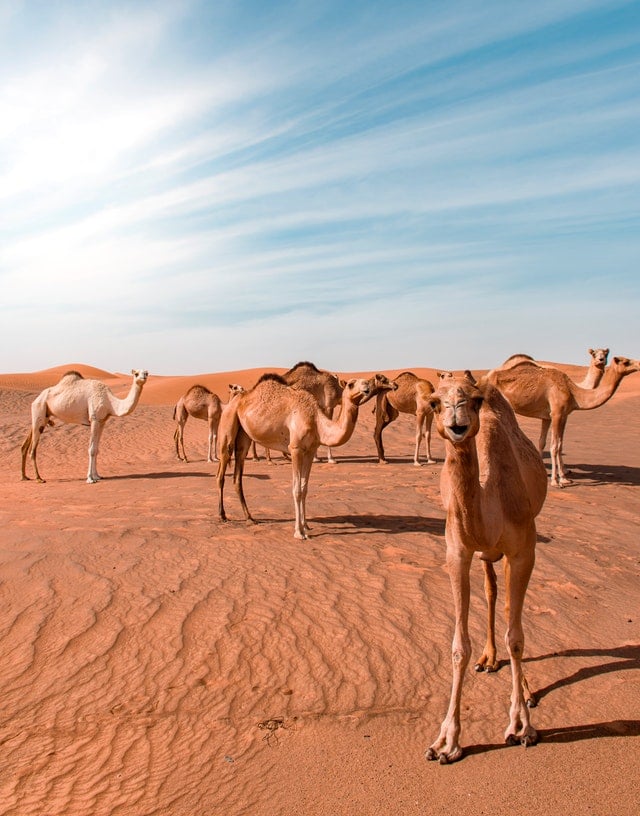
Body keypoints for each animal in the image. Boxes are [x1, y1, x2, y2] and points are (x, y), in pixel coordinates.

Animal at [21, 366, 149, 482]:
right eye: (136, 374)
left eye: (146, 373)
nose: (143, 377)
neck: (110, 402)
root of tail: (36, 399)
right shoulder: (94, 418)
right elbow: (91, 450)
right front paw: (90, 478)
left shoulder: (102, 421)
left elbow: (97, 449)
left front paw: (97, 476)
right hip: (39, 408)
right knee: (33, 450)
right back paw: (39, 478)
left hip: (43, 416)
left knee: (27, 442)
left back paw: (24, 477)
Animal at [215, 372, 396, 540]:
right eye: (351, 384)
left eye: (366, 382)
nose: (366, 387)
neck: (316, 421)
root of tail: (234, 401)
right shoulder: (295, 448)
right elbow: (296, 490)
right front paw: (299, 532)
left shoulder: (310, 450)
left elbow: (304, 488)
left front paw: (306, 525)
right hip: (227, 427)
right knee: (221, 473)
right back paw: (222, 516)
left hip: (244, 437)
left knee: (237, 476)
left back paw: (250, 518)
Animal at [422, 372, 548, 760]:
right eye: (435, 402)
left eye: (474, 400)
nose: (457, 421)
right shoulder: (457, 551)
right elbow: (459, 646)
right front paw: (446, 741)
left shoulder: (524, 549)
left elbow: (517, 637)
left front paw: (521, 726)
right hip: (485, 555)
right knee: (492, 592)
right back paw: (489, 658)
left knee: (507, 609)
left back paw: (525, 690)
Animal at [484, 356, 640, 484]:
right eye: (625, 361)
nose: (639, 364)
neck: (573, 392)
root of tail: (485, 377)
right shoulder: (557, 413)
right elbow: (554, 446)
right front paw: (555, 480)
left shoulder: (556, 416)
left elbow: (555, 444)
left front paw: (563, 477)